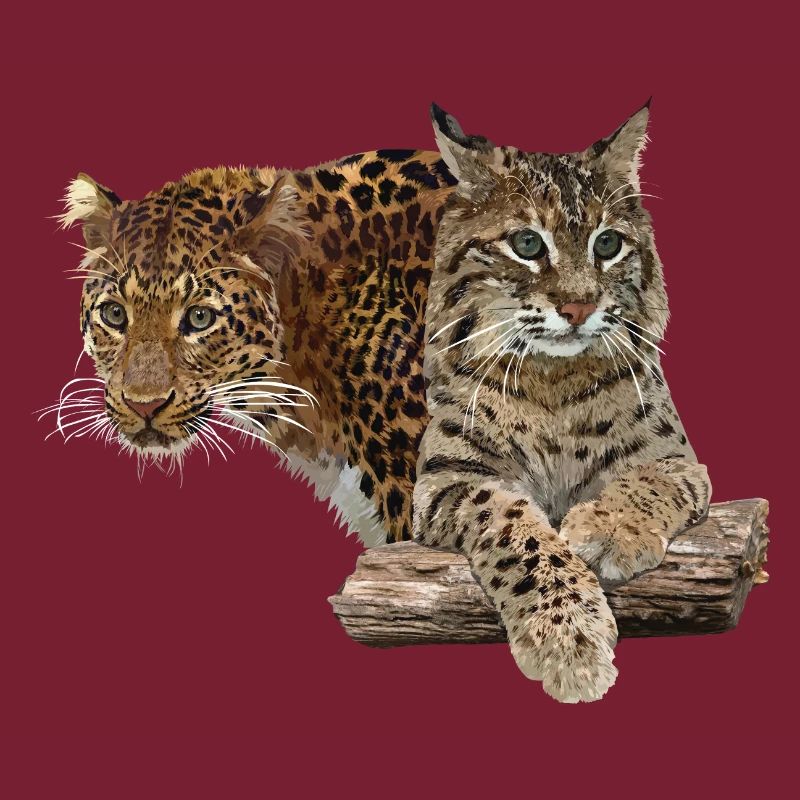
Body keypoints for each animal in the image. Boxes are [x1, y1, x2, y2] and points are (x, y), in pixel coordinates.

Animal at [413, 103, 711, 702]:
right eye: (528, 245)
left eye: (607, 245)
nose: (578, 308)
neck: (553, 377)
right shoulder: (446, 479)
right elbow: (513, 528)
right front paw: (568, 640)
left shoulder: (678, 461)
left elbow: (648, 480)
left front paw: (612, 528)